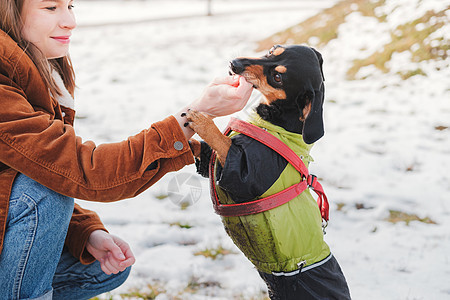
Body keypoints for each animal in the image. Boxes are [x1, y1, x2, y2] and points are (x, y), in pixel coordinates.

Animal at [185, 45, 350, 300]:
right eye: (273, 51)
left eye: (278, 77)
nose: (234, 63)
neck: (278, 123)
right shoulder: (211, 160)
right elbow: (200, 147)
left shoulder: (246, 173)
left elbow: (221, 140)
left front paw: (201, 120)